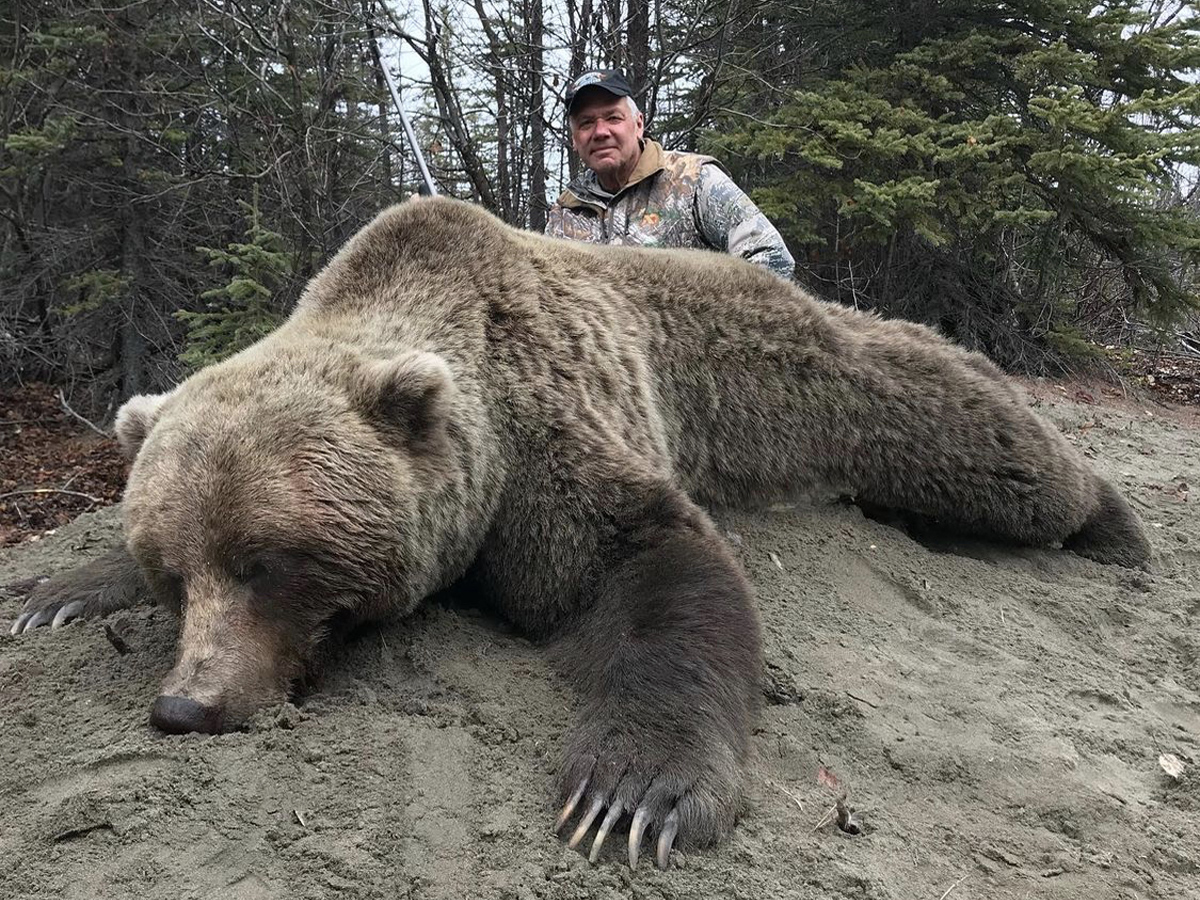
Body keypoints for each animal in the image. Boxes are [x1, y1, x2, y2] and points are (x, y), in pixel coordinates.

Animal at [9, 196, 1151, 870]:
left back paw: (1114, 526)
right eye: (174, 572)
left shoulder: (540, 433)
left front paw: (632, 791)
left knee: (982, 437)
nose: (186, 707)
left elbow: (649, 564)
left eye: (268, 562)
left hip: (840, 390)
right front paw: (54, 591)